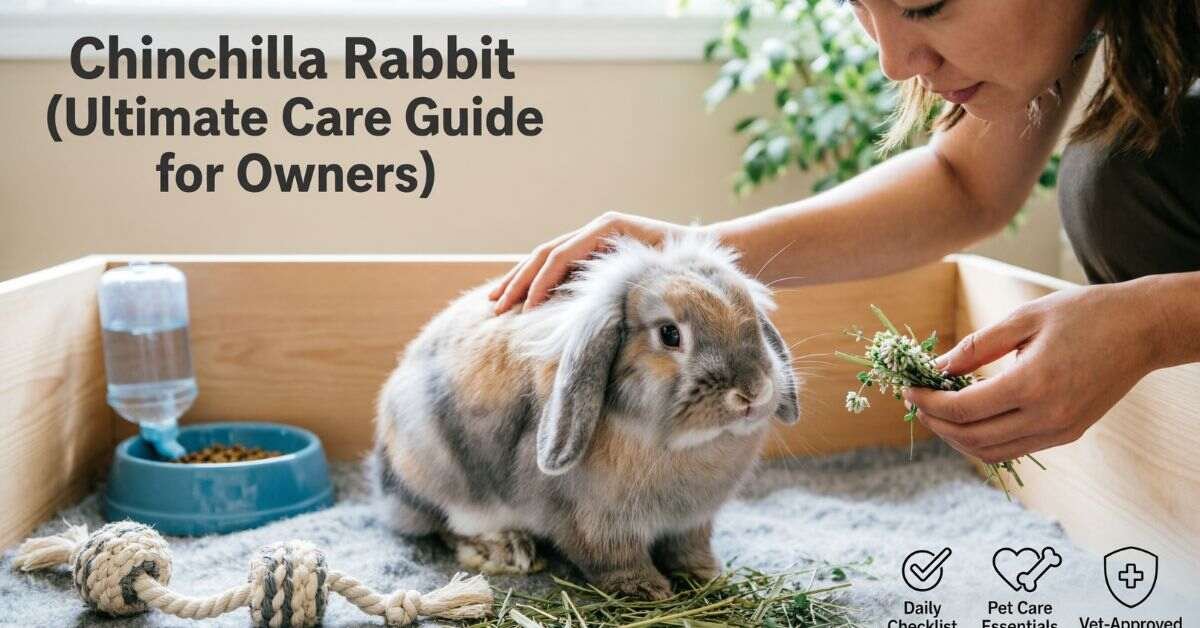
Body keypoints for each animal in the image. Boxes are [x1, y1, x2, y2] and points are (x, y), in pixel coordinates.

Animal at [370, 232, 800, 600]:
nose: (752, 392)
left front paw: (706, 575)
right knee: (448, 525)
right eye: (670, 334)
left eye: (752, 320)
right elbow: (611, 557)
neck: (681, 447)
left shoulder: (692, 521)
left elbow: (690, 549)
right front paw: (644, 590)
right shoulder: (592, 520)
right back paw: (508, 550)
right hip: (440, 469)